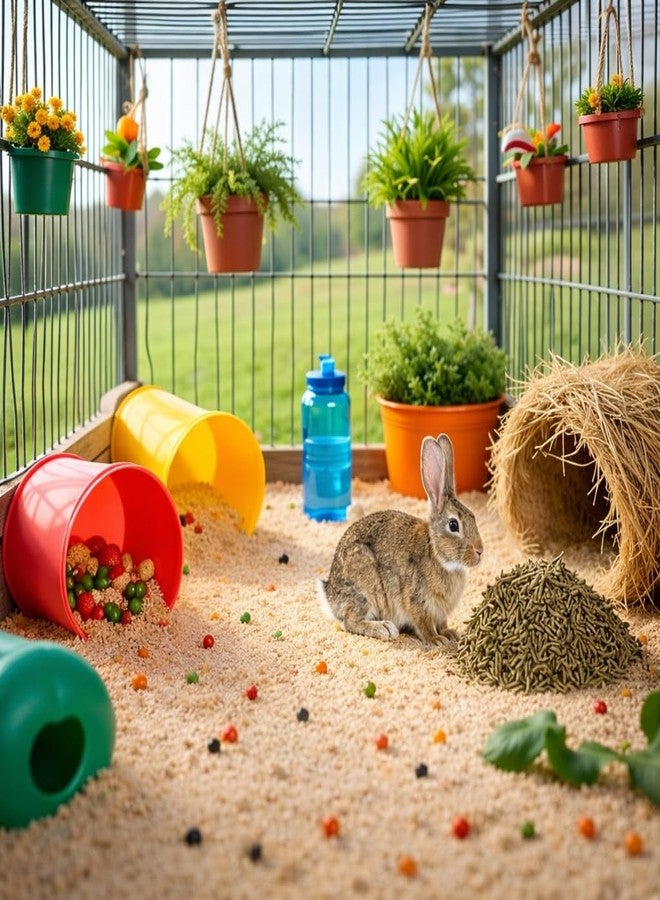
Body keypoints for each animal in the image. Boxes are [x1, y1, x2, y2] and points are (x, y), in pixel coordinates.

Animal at [317, 433, 483, 647]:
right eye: (454, 525)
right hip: (365, 586)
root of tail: (329, 594)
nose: (480, 551)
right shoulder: (417, 601)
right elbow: (424, 624)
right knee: (351, 621)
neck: (437, 555)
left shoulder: (440, 612)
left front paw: (450, 634)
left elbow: (442, 623)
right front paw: (437, 640)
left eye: (473, 517)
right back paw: (384, 628)